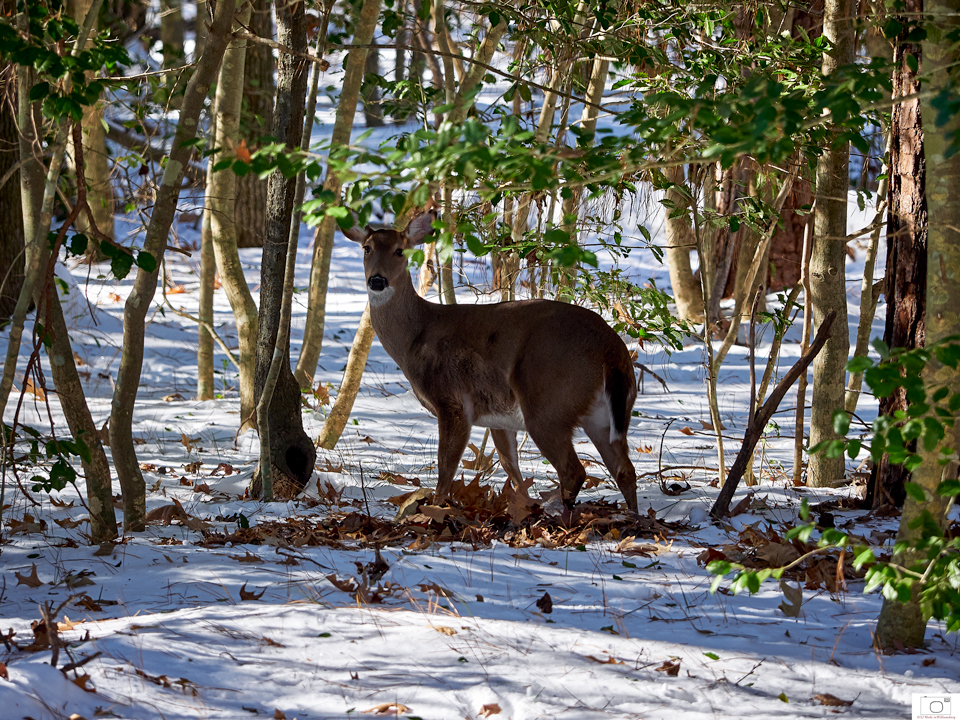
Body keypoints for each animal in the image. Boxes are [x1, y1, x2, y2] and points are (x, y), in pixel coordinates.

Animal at [342, 210, 638, 515]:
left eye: (400, 250)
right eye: (367, 248)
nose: (377, 280)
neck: (416, 337)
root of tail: (612, 349)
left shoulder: (453, 402)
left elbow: (446, 468)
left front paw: (435, 509)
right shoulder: (498, 417)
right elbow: (511, 467)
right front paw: (521, 506)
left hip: (548, 400)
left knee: (574, 470)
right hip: (604, 414)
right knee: (625, 469)